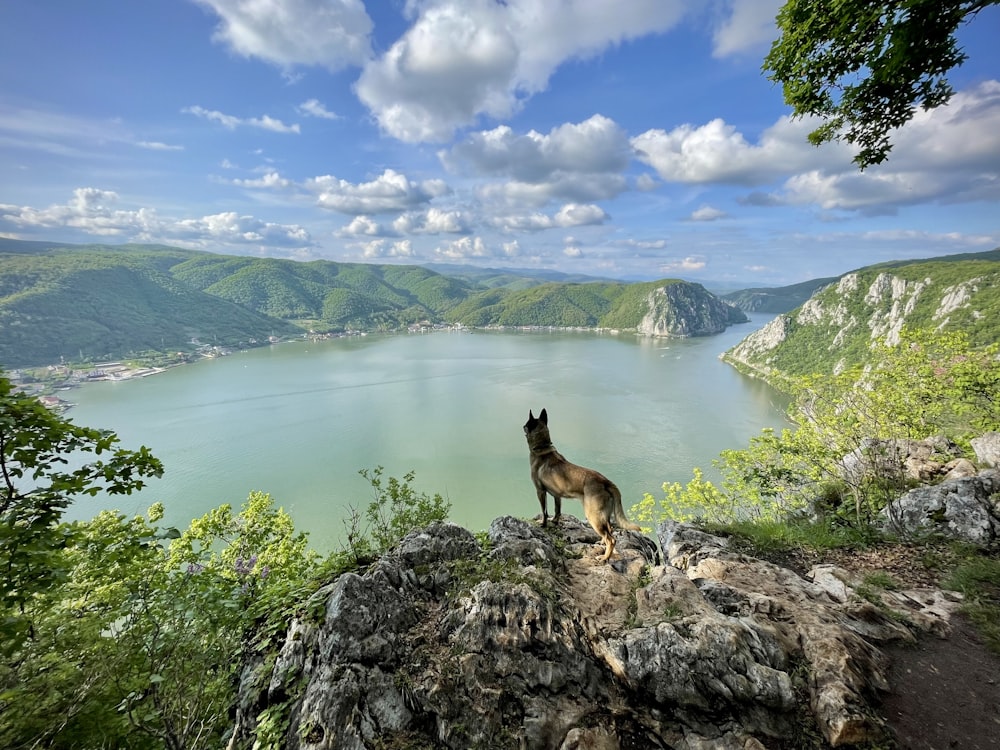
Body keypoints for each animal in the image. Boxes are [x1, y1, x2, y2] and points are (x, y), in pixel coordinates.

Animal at [524, 408, 640, 560]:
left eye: (526, 424)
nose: (522, 427)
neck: (542, 449)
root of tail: (605, 481)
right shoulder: (557, 495)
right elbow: (557, 510)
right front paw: (554, 521)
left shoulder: (540, 491)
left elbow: (544, 512)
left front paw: (543, 524)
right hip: (604, 515)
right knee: (610, 530)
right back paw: (602, 545)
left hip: (593, 515)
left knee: (611, 539)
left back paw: (604, 558)